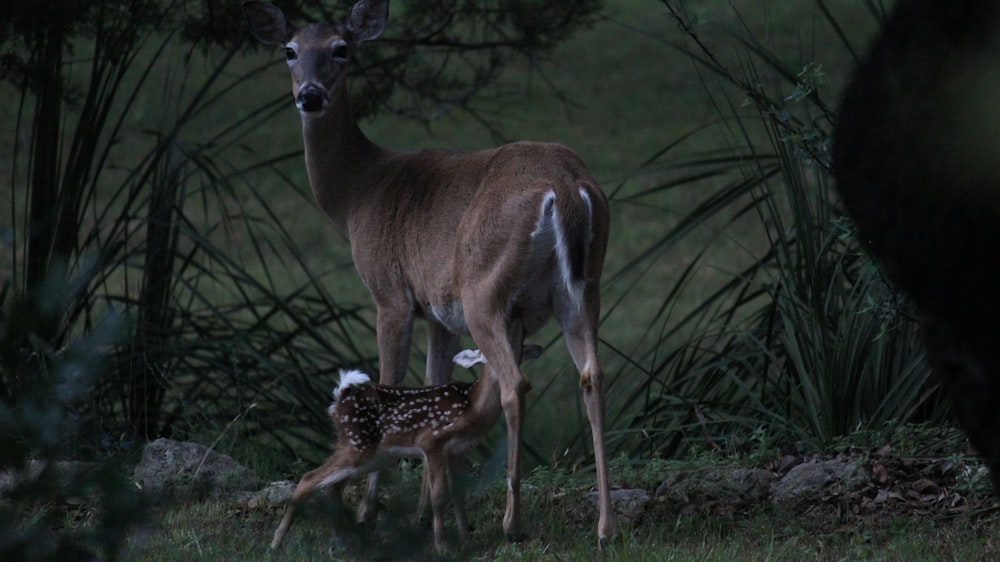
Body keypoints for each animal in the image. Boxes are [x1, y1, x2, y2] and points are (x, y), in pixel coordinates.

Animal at [270, 344, 540, 548]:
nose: (523, 379)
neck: (472, 406)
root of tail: (340, 398)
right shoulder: (432, 441)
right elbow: (439, 495)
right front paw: (442, 546)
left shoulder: (458, 451)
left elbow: (459, 494)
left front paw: (466, 539)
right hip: (357, 447)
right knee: (309, 478)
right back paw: (277, 542)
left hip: (370, 454)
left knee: (332, 486)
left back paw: (343, 540)